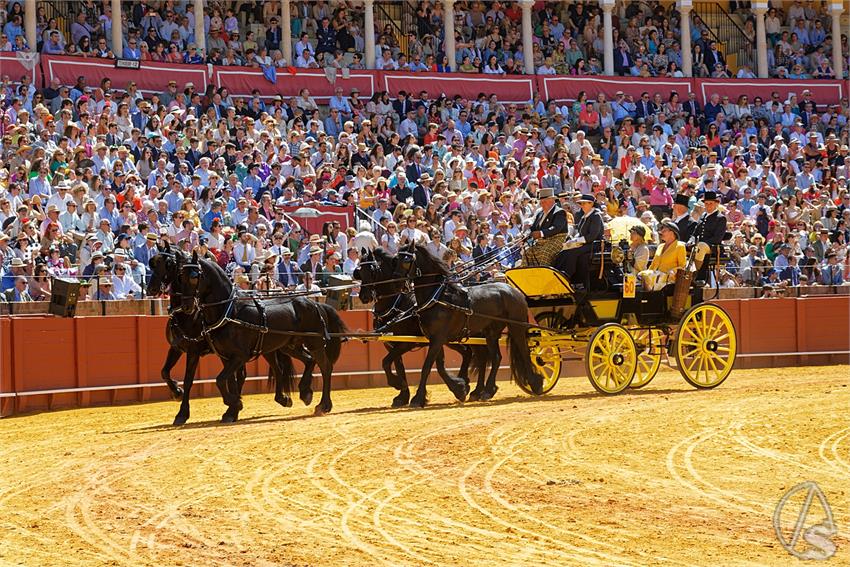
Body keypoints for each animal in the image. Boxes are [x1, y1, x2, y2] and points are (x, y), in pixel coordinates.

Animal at [147, 244, 316, 426]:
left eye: (169, 264)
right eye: (152, 263)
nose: (151, 289)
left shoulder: (195, 351)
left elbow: (192, 379)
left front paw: (183, 412)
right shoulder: (177, 347)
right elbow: (165, 372)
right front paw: (177, 393)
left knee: (267, 371)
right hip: (271, 348)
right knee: (276, 369)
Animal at [181, 255, 346, 420]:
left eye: (194, 277)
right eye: (181, 275)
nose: (186, 306)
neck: (229, 311)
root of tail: (315, 304)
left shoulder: (240, 356)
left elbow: (220, 380)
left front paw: (235, 403)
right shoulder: (225, 356)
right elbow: (227, 380)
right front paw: (232, 409)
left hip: (314, 343)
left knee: (325, 367)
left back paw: (323, 405)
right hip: (290, 346)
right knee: (308, 361)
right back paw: (305, 393)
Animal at [352, 251, 484, 406]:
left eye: (372, 271)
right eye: (359, 272)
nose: (363, 296)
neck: (397, 306)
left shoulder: (409, 343)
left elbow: (388, 362)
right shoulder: (392, 344)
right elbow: (398, 366)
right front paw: (403, 395)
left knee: (481, 358)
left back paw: (478, 390)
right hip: (453, 339)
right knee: (468, 353)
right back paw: (468, 383)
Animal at [384, 244, 544, 408]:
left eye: (406, 260)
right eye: (396, 259)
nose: (395, 282)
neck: (437, 297)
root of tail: (514, 291)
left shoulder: (437, 338)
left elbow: (427, 367)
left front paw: (417, 398)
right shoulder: (432, 339)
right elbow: (435, 365)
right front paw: (459, 388)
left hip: (516, 327)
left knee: (524, 352)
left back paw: (535, 384)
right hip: (491, 332)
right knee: (496, 358)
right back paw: (487, 391)